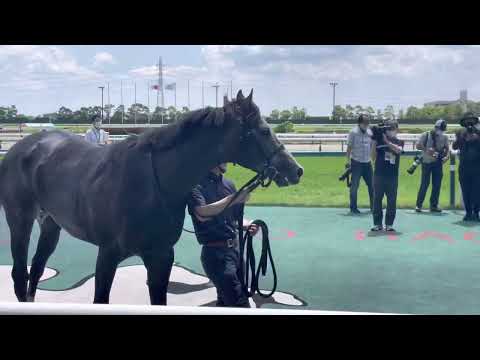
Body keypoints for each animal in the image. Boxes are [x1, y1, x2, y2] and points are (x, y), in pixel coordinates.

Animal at [0, 89, 304, 304]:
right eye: (264, 130)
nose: (296, 169)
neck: (152, 184)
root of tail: (22, 147)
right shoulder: (107, 255)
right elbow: (100, 298)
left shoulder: (160, 256)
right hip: (20, 221)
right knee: (19, 273)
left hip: (51, 223)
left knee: (36, 270)